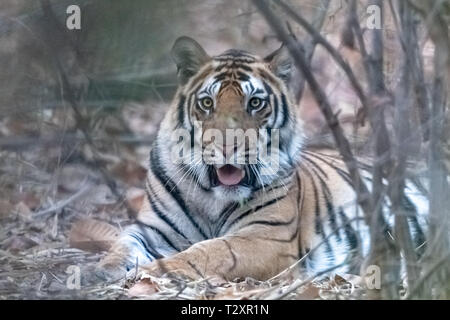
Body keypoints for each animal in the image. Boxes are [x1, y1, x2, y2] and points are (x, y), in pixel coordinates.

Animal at [96, 36, 428, 286]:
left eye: (255, 103)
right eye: (207, 103)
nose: (227, 146)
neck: (211, 198)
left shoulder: (266, 237)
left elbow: (208, 251)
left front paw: (152, 271)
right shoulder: (153, 229)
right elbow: (122, 244)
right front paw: (99, 271)